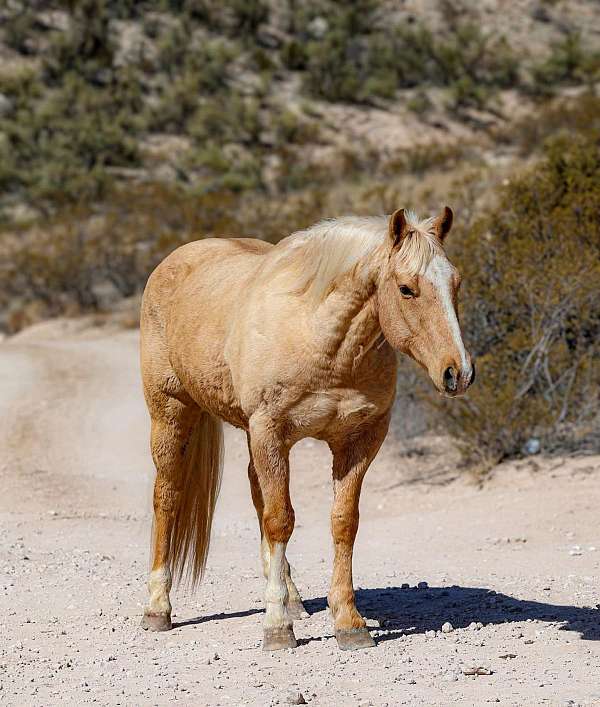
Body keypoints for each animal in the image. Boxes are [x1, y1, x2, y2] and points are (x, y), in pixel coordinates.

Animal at [141, 209, 474, 652]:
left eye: (456, 283)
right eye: (407, 289)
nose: (459, 372)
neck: (321, 339)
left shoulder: (358, 442)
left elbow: (342, 522)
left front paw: (348, 622)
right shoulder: (271, 433)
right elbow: (281, 519)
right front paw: (277, 627)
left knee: (256, 495)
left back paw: (292, 595)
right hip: (171, 415)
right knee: (168, 497)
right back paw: (157, 608)